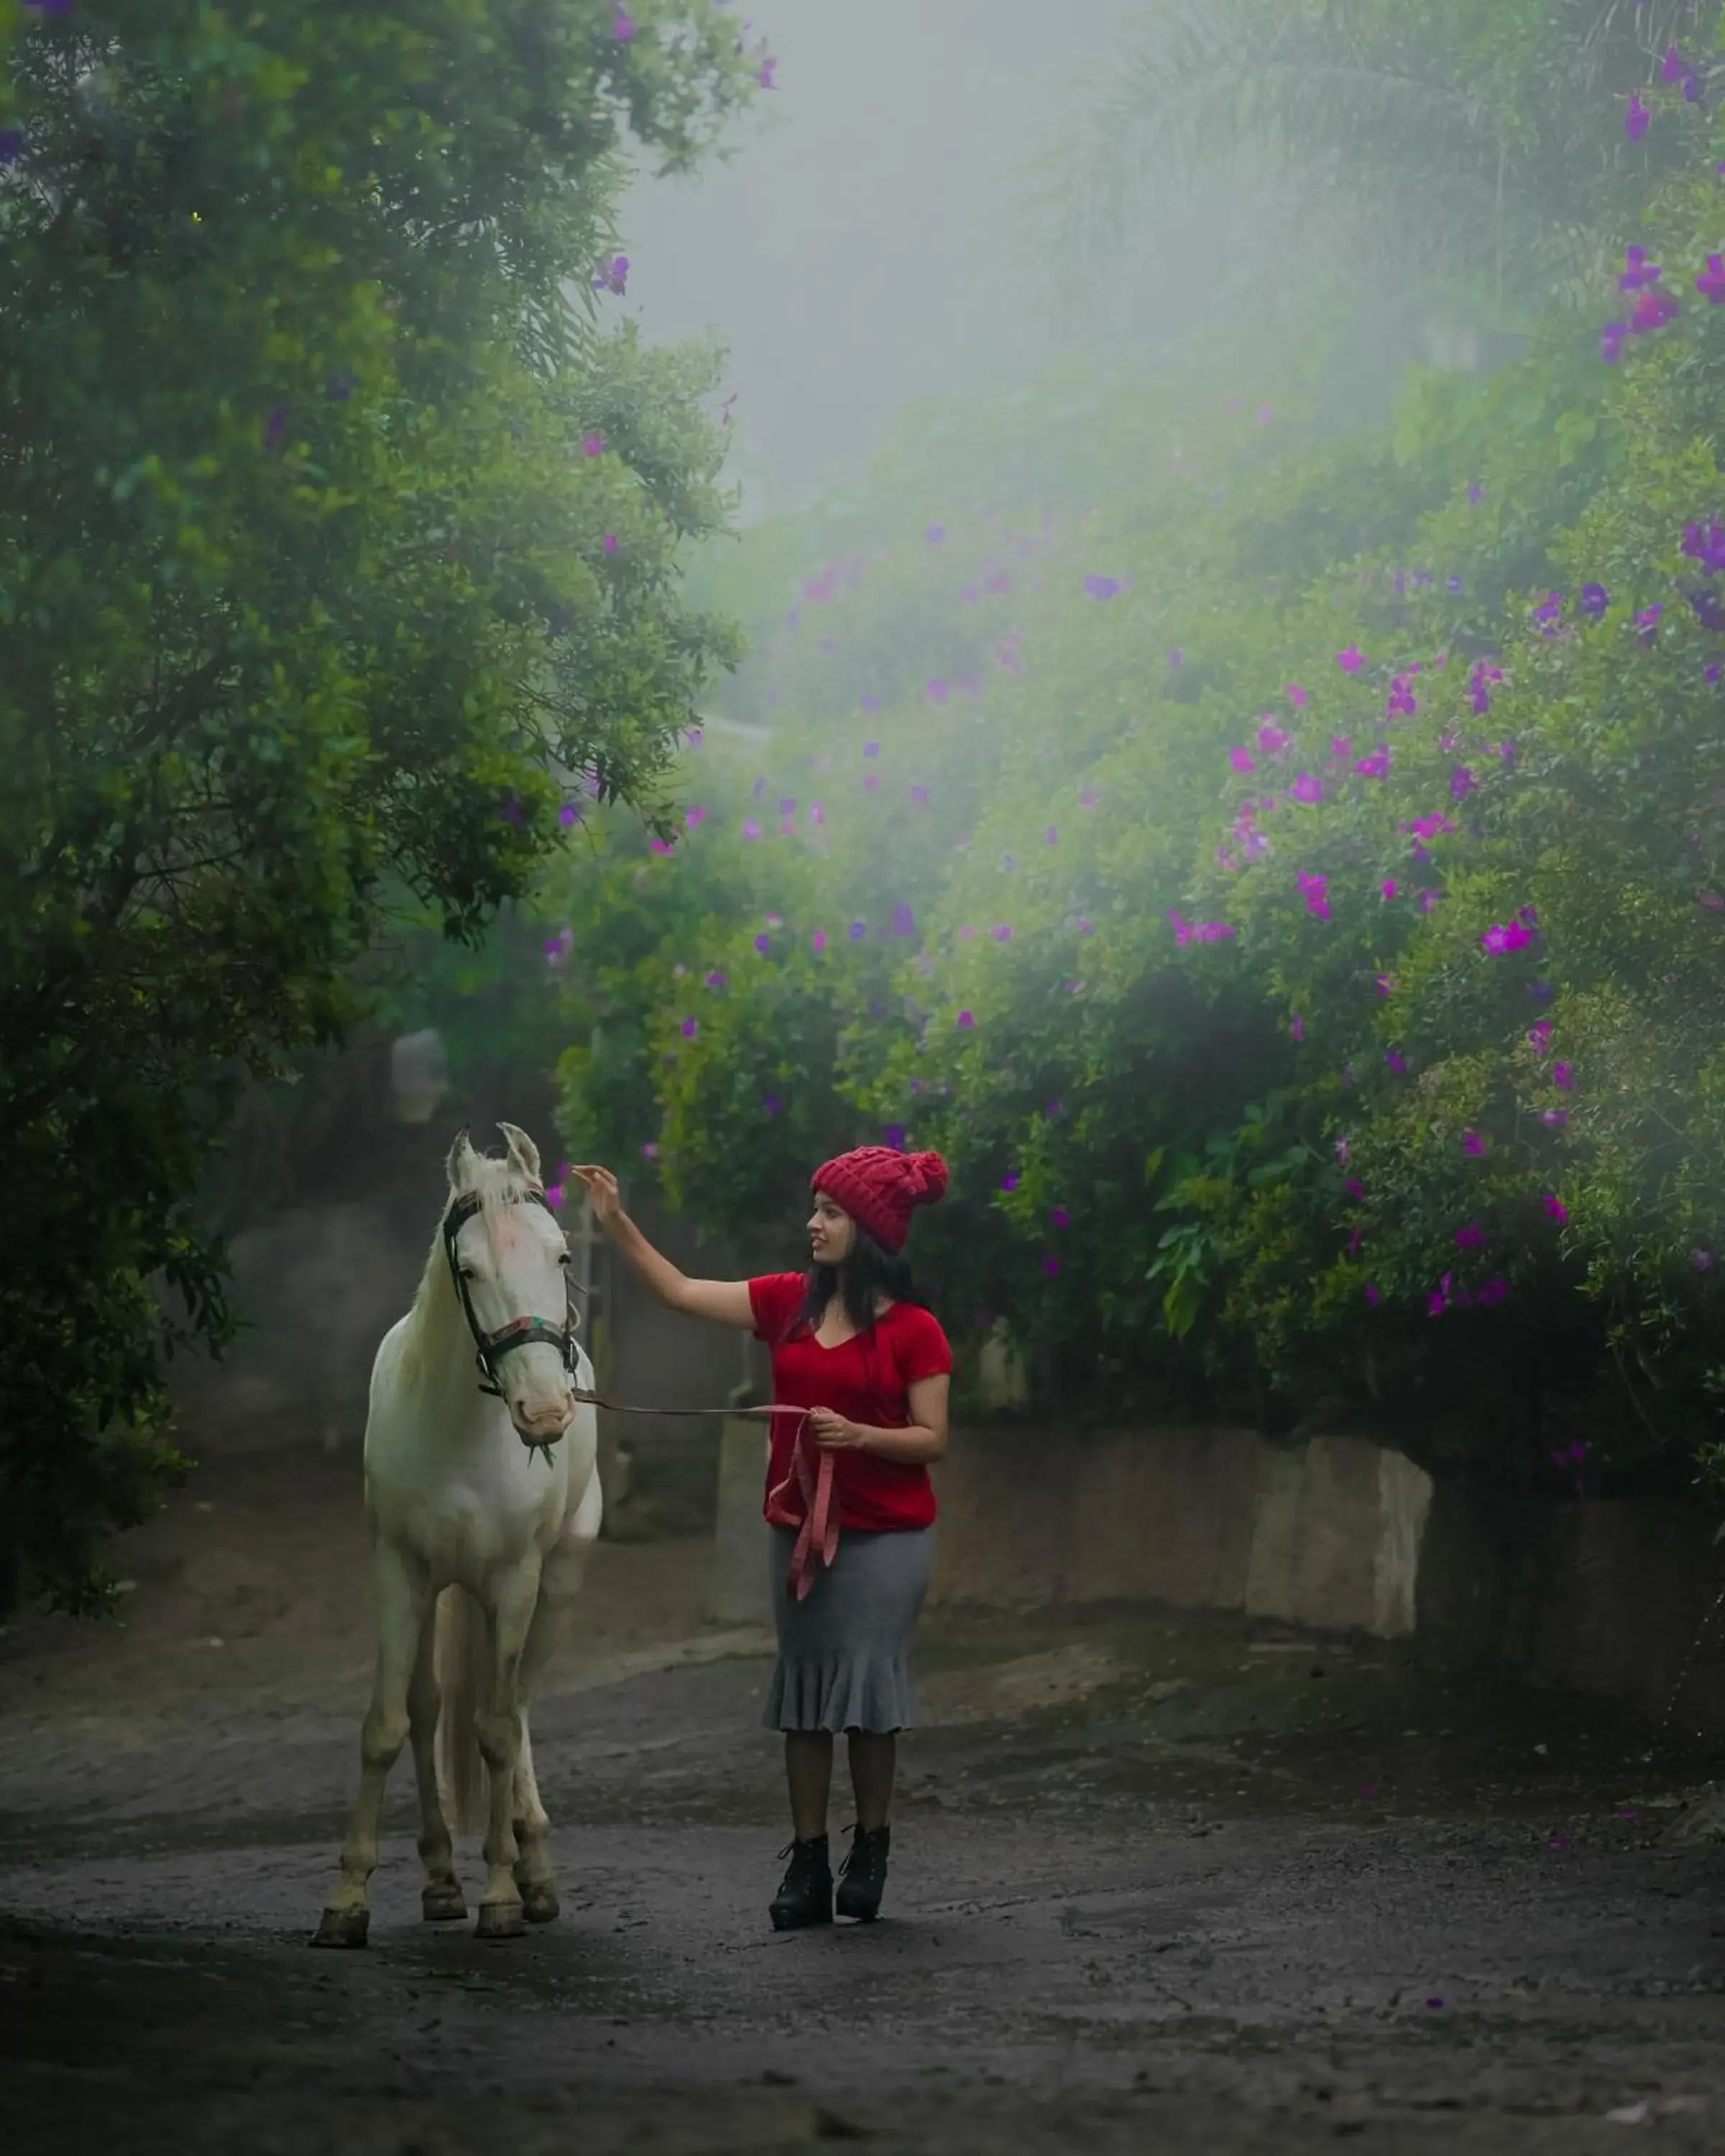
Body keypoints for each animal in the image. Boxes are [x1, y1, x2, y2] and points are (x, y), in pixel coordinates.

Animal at [313, 1121, 604, 1949]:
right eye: (469, 1269)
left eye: (562, 1257)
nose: (545, 1412)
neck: (461, 1430)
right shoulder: (399, 1572)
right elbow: (385, 1725)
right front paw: (347, 1900)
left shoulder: (515, 1579)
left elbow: (499, 1730)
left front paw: (503, 1893)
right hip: (441, 1591)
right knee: (429, 1708)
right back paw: (442, 1879)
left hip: (556, 1584)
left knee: (521, 1702)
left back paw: (533, 1868)